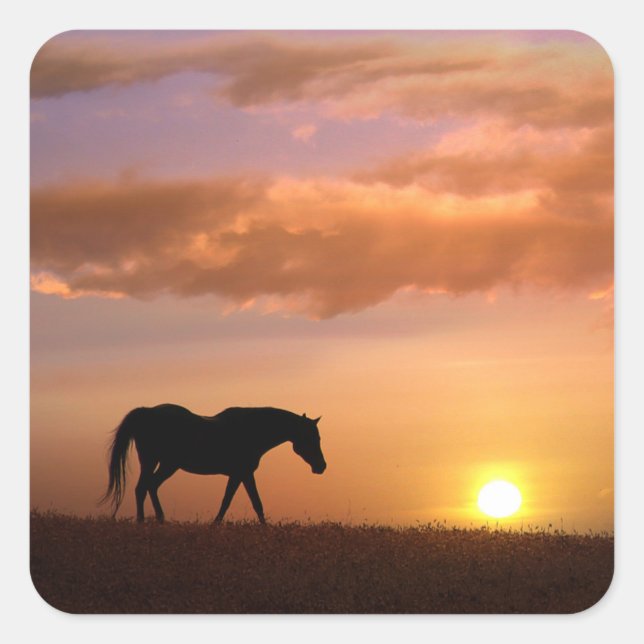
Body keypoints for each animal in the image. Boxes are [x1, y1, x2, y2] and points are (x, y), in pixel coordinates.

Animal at [99, 404, 326, 524]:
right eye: (311, 438)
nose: (321, 466)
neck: (251, 430)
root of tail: (146, 412)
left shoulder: (239, 475)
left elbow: (231, 501)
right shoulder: (243, 473)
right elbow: (251, 502)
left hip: (163, 463)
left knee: (149, 486)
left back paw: (159, 520)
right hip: (157, 462)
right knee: (143, 487)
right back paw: (144, 521)